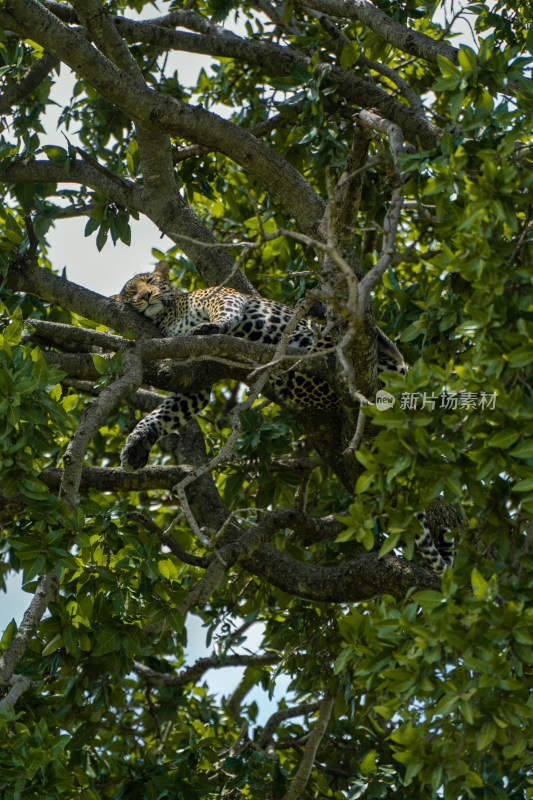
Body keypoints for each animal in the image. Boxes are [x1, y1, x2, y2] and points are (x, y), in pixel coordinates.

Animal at [114, 262, 408, 472]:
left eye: (151, 282)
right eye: (130, 292)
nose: (146, 295)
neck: (168, 316)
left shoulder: (220, 296)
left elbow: (225, 314)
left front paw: (211, 327)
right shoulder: (193, 379)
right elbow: (162, 415)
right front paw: (136, 445)